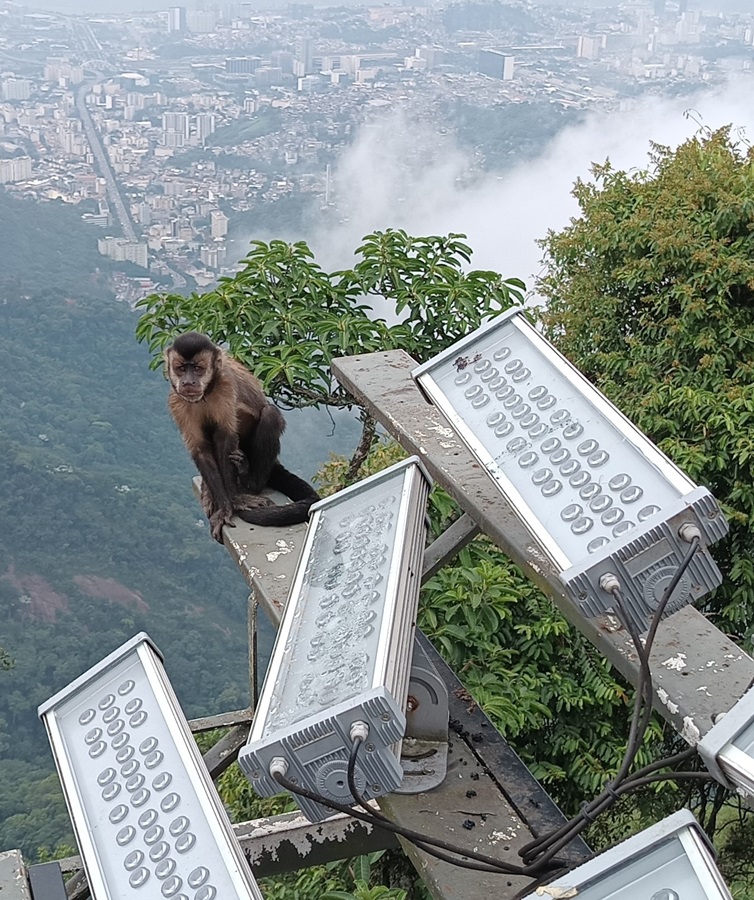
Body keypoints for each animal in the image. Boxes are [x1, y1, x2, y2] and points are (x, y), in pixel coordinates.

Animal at [164, 330, 318, 540]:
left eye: (197, 368)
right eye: (180, 369)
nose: (188, 382)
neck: (207, 393)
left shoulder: (225, 386)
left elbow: (225, 439)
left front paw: (235, 500)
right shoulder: (177, 400)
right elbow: (200, 448)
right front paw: (224, 505)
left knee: (270, 414)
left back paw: (250, 480)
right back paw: (209, 491)